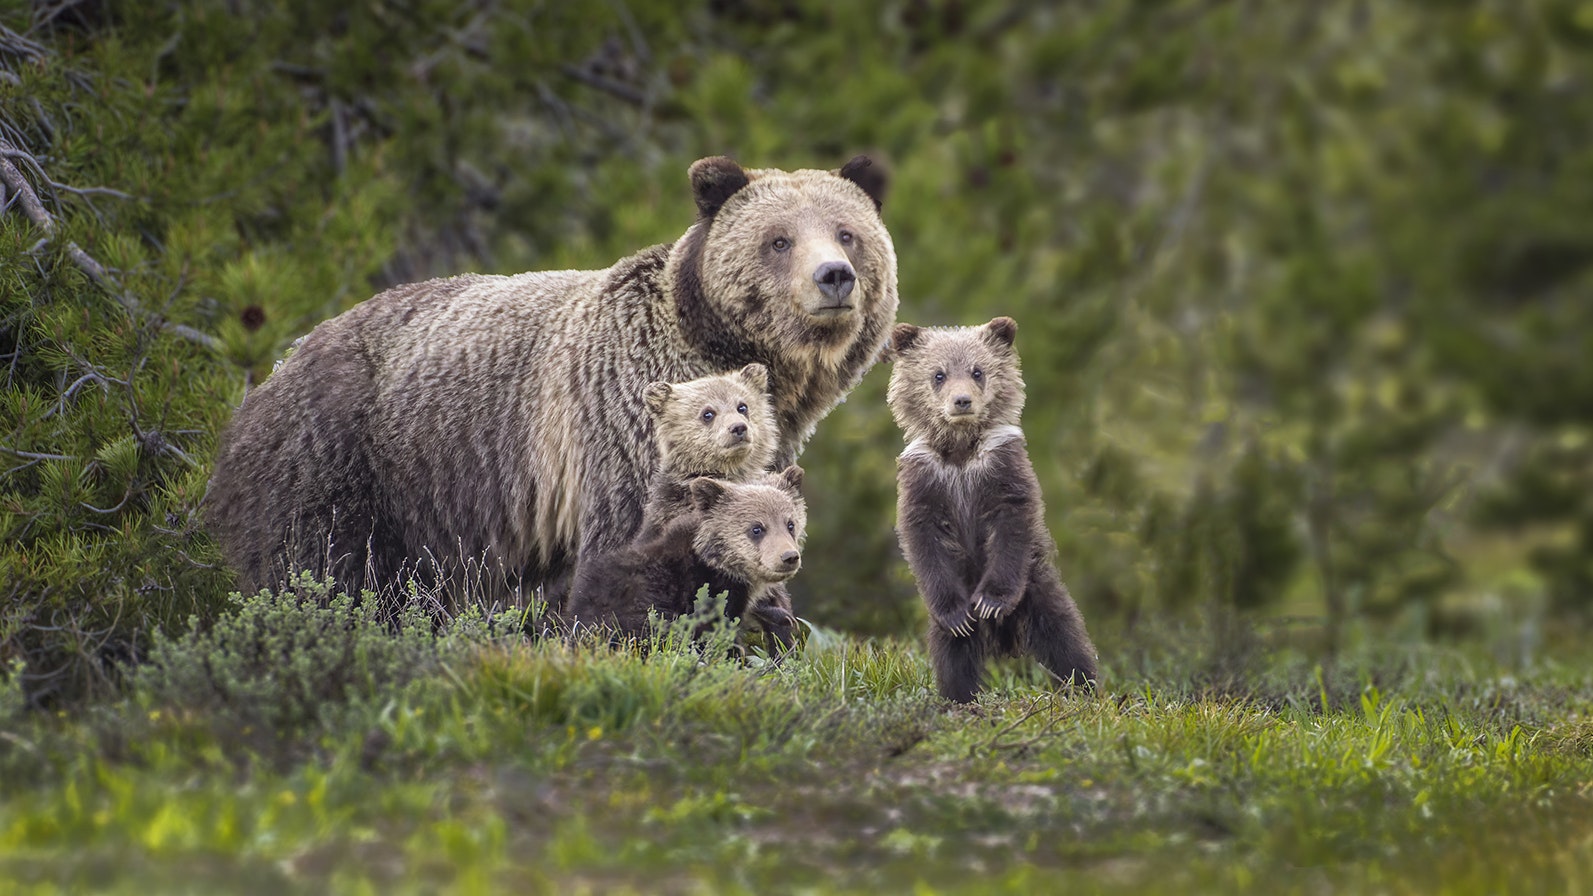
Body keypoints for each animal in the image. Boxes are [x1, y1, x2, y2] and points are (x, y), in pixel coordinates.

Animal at [205, 155, 895, 605]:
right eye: (779, 240)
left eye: (847, 233)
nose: (834, 276)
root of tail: (272, 371)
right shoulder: (624, 420)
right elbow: (635, 540)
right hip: (346, 461)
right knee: (319, 568)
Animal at [886, 316, 1098, 703]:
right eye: (938, 374)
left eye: (978, 371)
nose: (962, 401)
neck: (961, 453)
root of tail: (1005, 641)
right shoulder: (925, 479)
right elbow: (922, 537)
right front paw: (959, 616)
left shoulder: (1002, 467)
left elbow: (1012, 524)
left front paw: (991, 600)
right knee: (952, 652)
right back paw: (959, 695)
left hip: (1037, 588)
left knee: (1064, 634)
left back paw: (1086, 686)